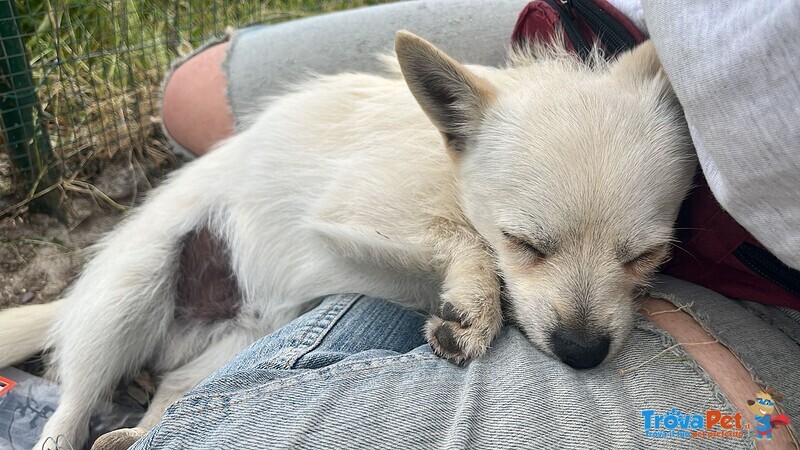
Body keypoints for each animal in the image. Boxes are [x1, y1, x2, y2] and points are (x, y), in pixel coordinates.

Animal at [0, 30, 696, 446]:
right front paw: (475, 307)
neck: (447, 166)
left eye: (647, 258)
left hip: (237, 343)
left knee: (172, 394)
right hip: (129, 297)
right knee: (71, 406)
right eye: (524, 243)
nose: (582, 351)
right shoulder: (351, 213)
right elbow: (464, 241)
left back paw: (134, 431)